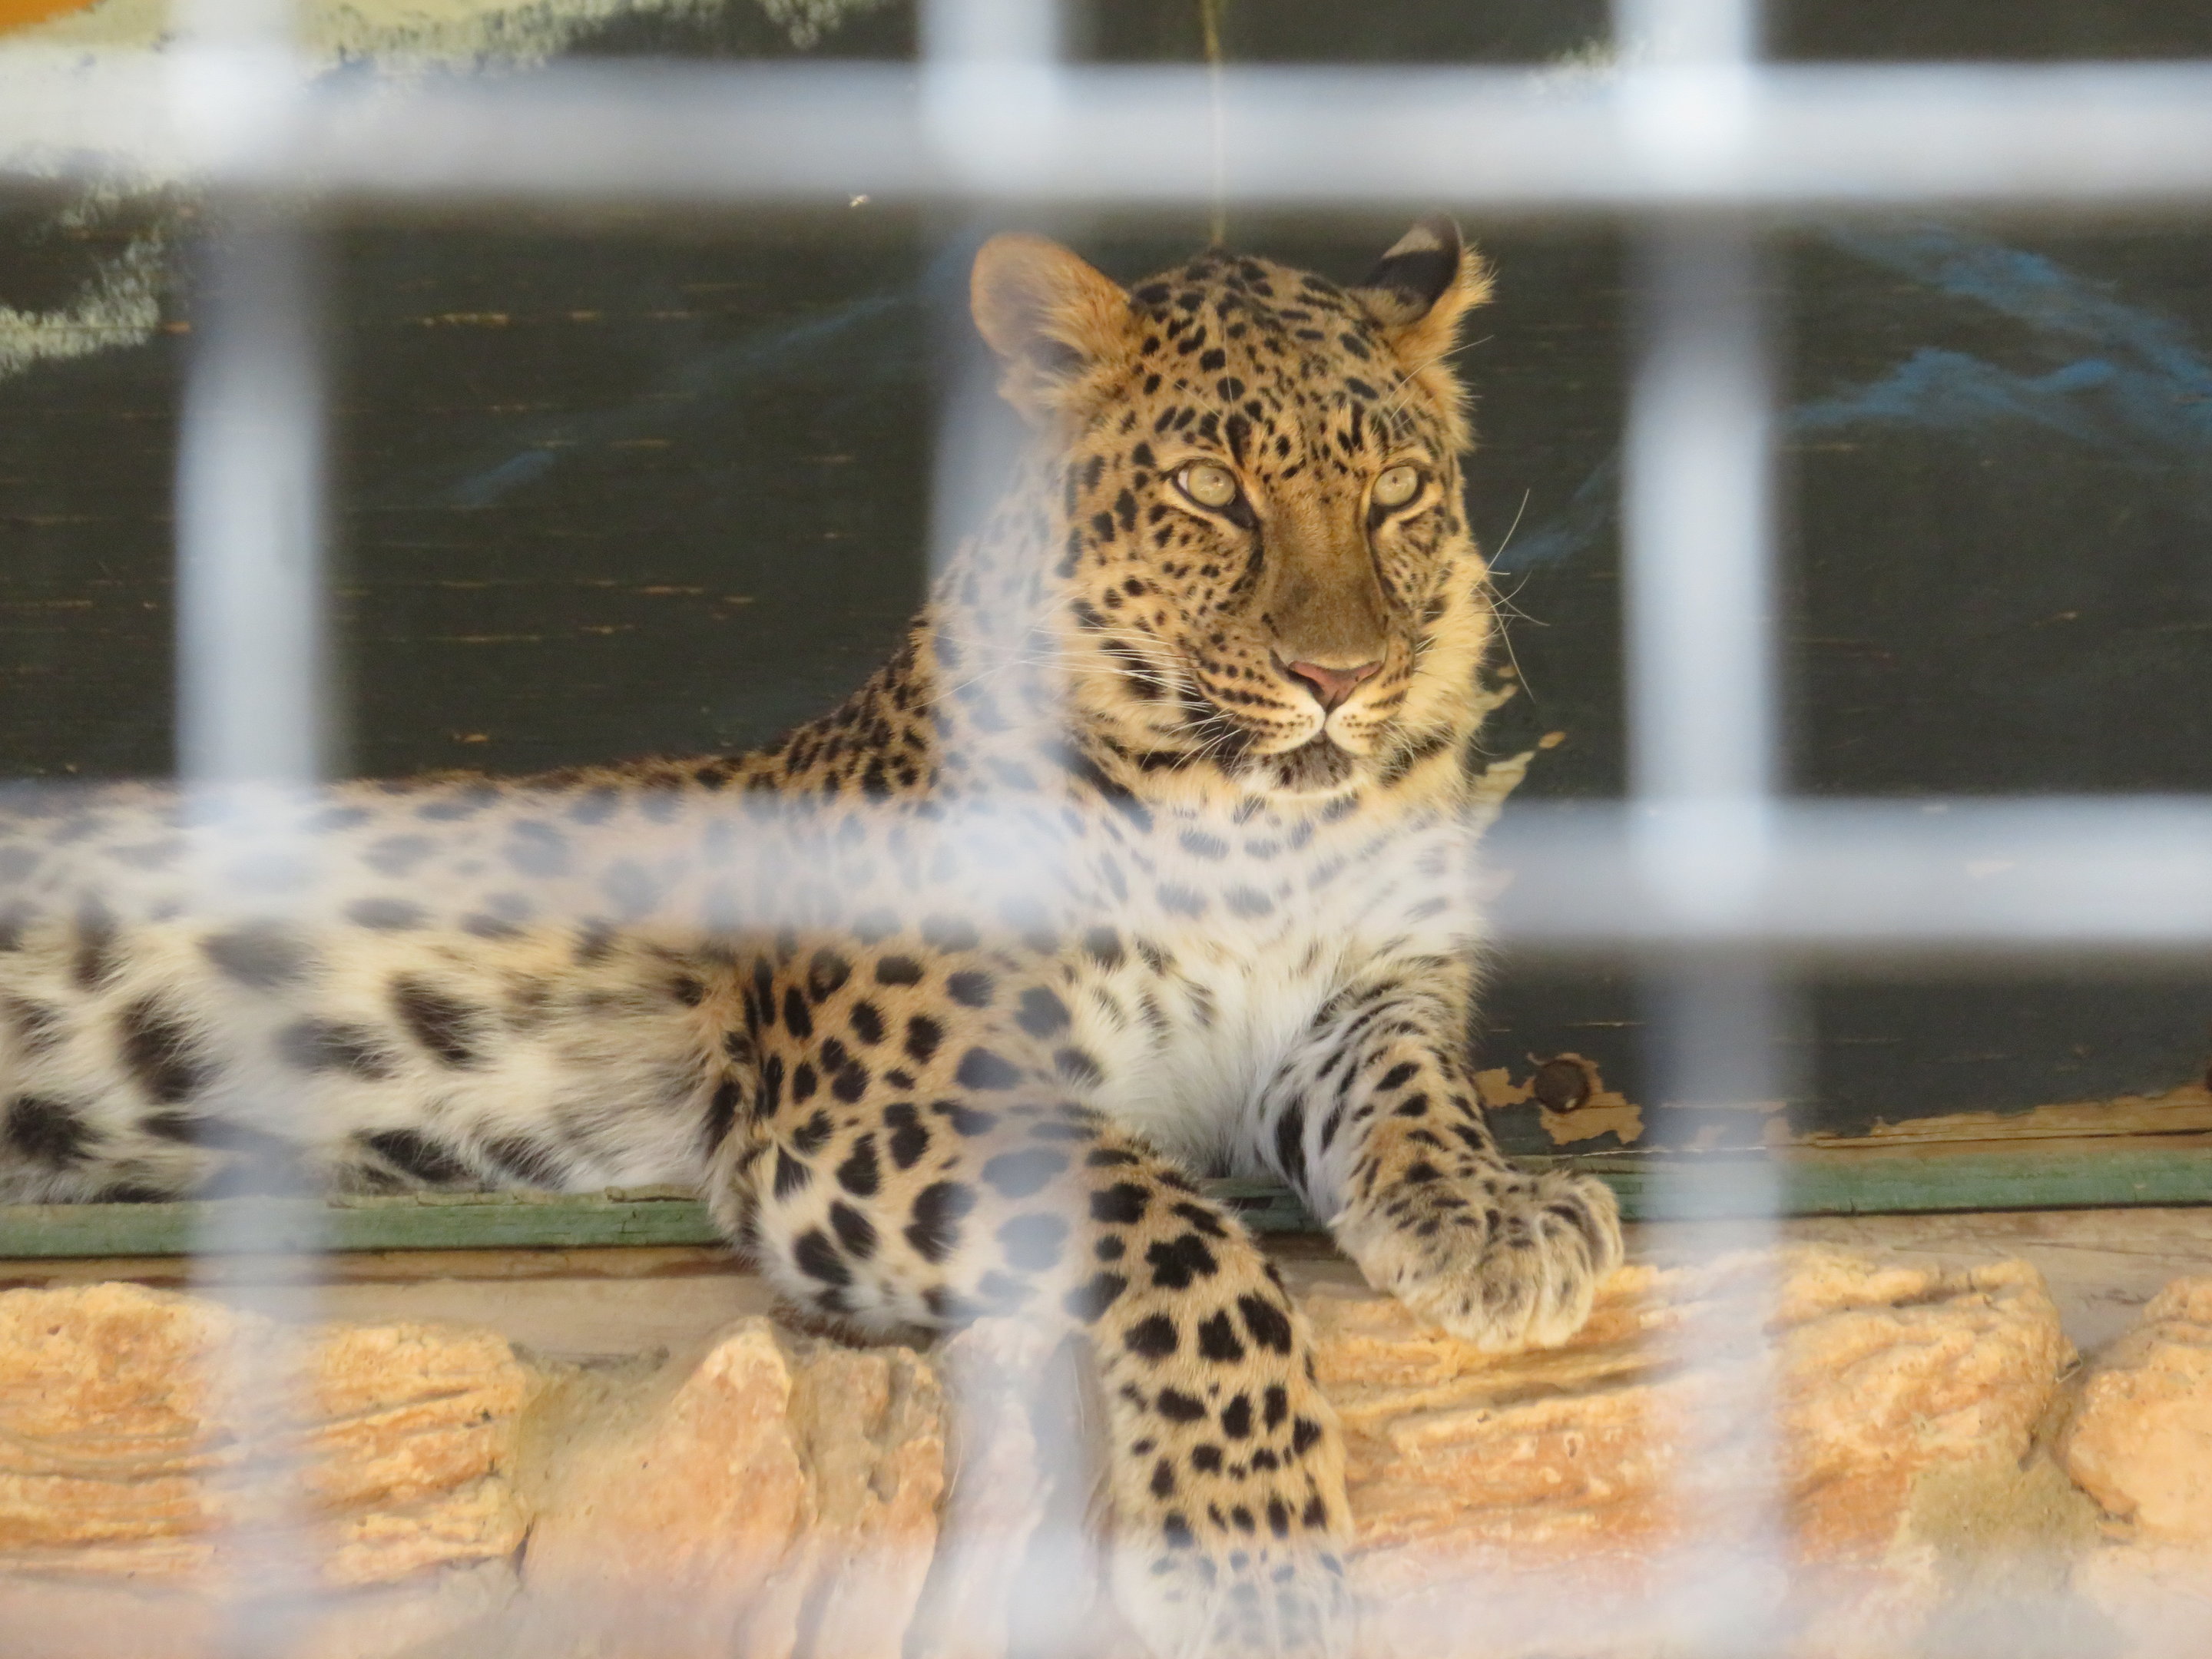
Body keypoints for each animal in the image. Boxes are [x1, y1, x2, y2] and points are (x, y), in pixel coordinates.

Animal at [0, 218, 1623, 1655]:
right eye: (1210, 487)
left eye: (1397, 489)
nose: (1340, 677)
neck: (1246, 828)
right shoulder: (872, 1116)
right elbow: (1189, 1245)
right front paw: (1253, 1556)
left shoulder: (1361, 998)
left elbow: (1416, 1091)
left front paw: (1497, 1219)